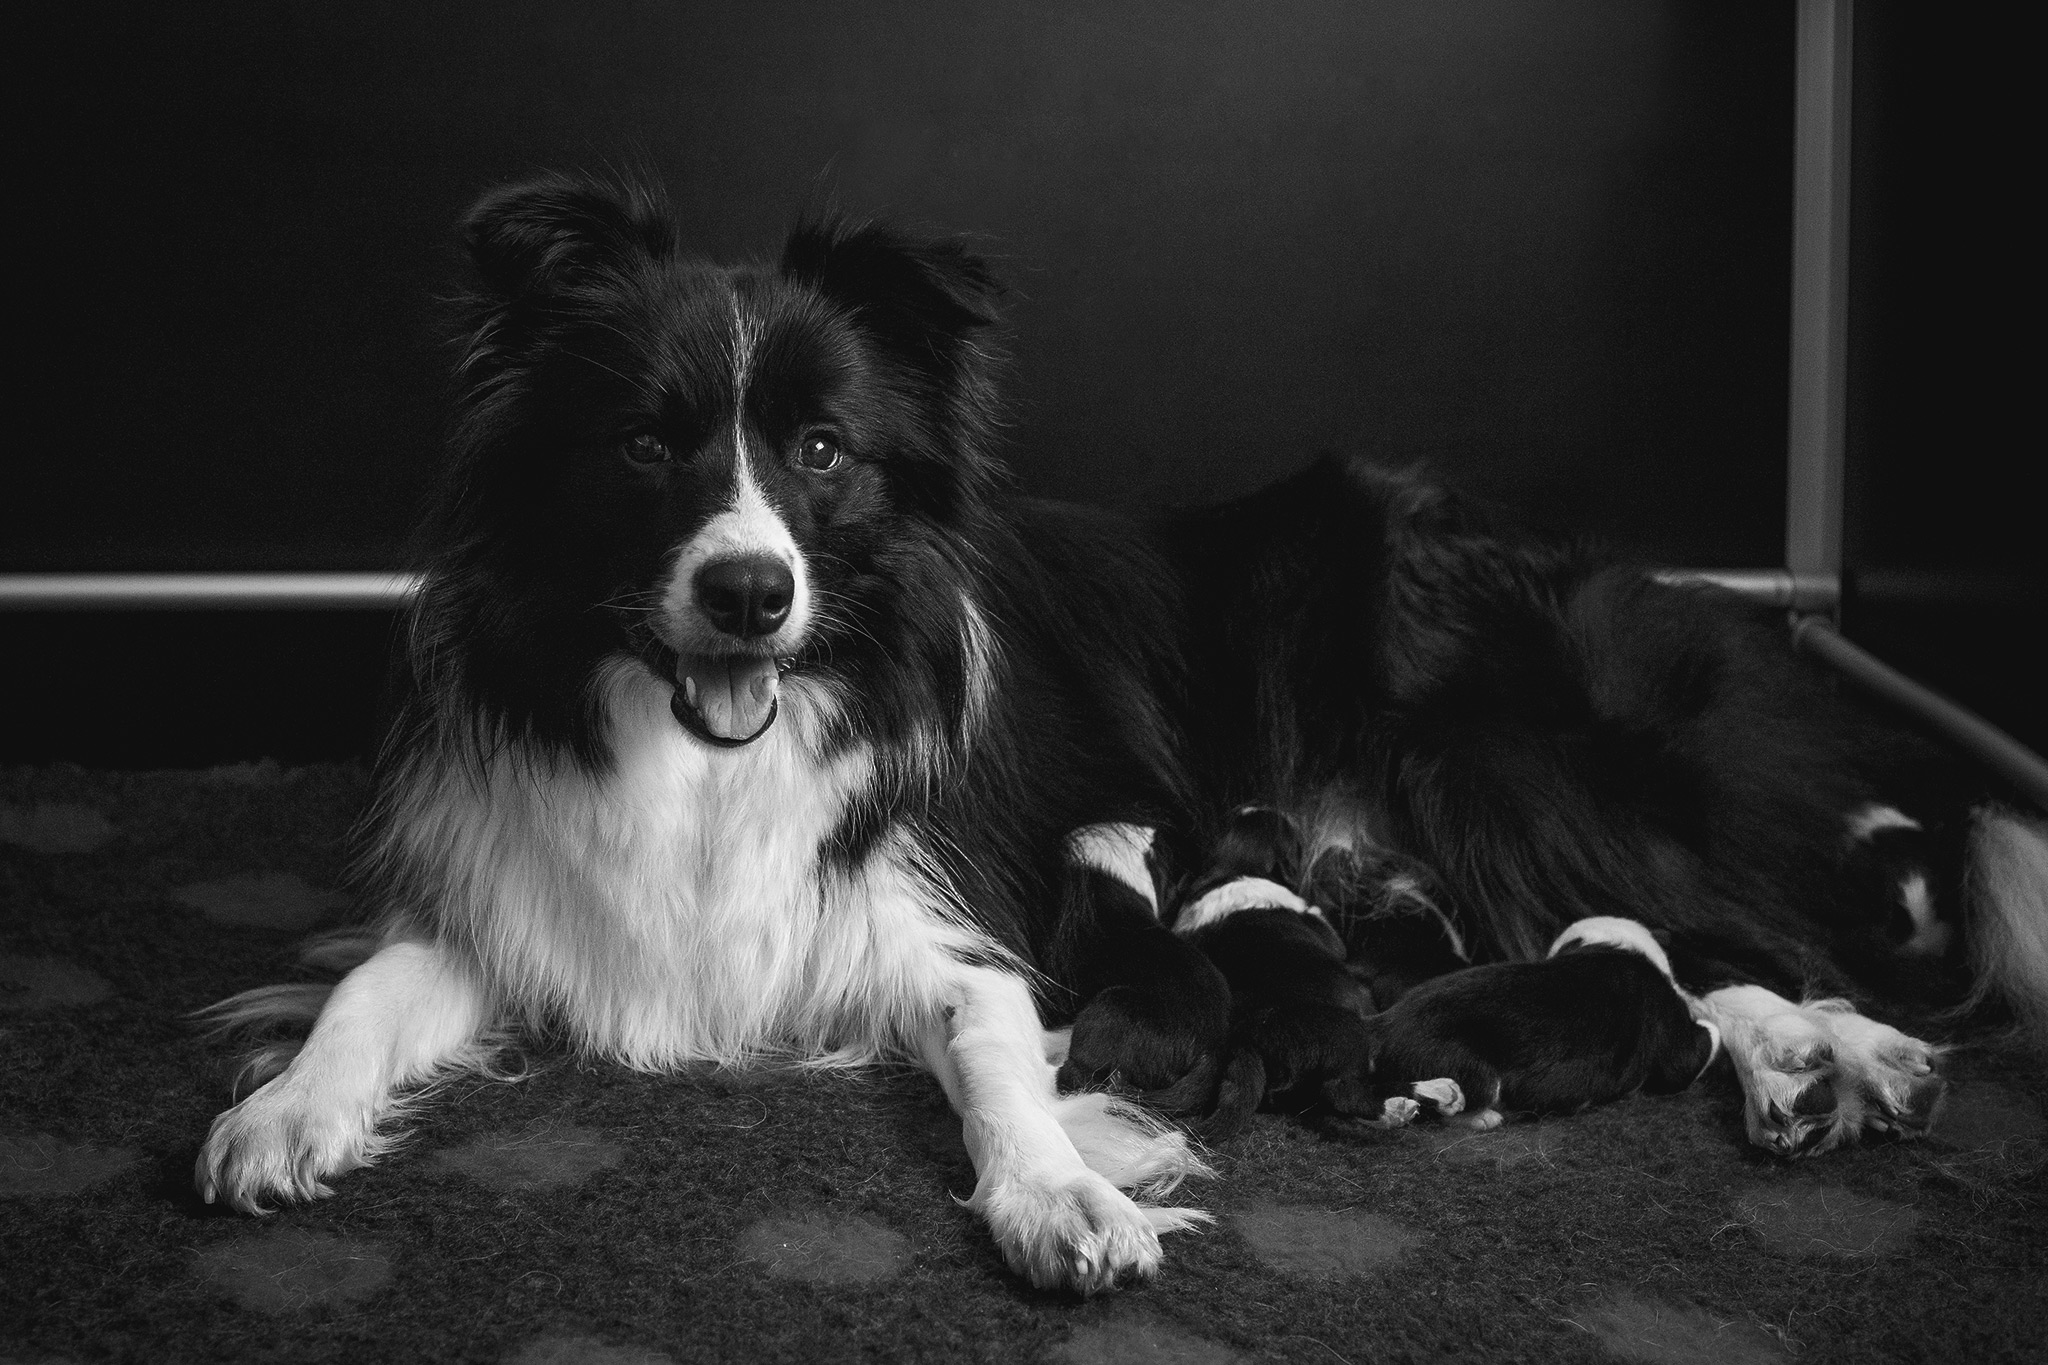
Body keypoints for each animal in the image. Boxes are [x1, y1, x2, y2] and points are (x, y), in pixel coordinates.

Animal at [199, 175, 2048, 1301]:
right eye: (648, 447)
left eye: (820, 453)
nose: (747, 592)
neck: (709, 749)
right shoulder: (523, 890)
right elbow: (374, 986)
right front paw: (287, 1113)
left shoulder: (942, 919)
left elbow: (997, 1052)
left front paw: (1064, 1195)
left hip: (1489, 759)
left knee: (1713, 928)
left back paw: (1831, 1052)